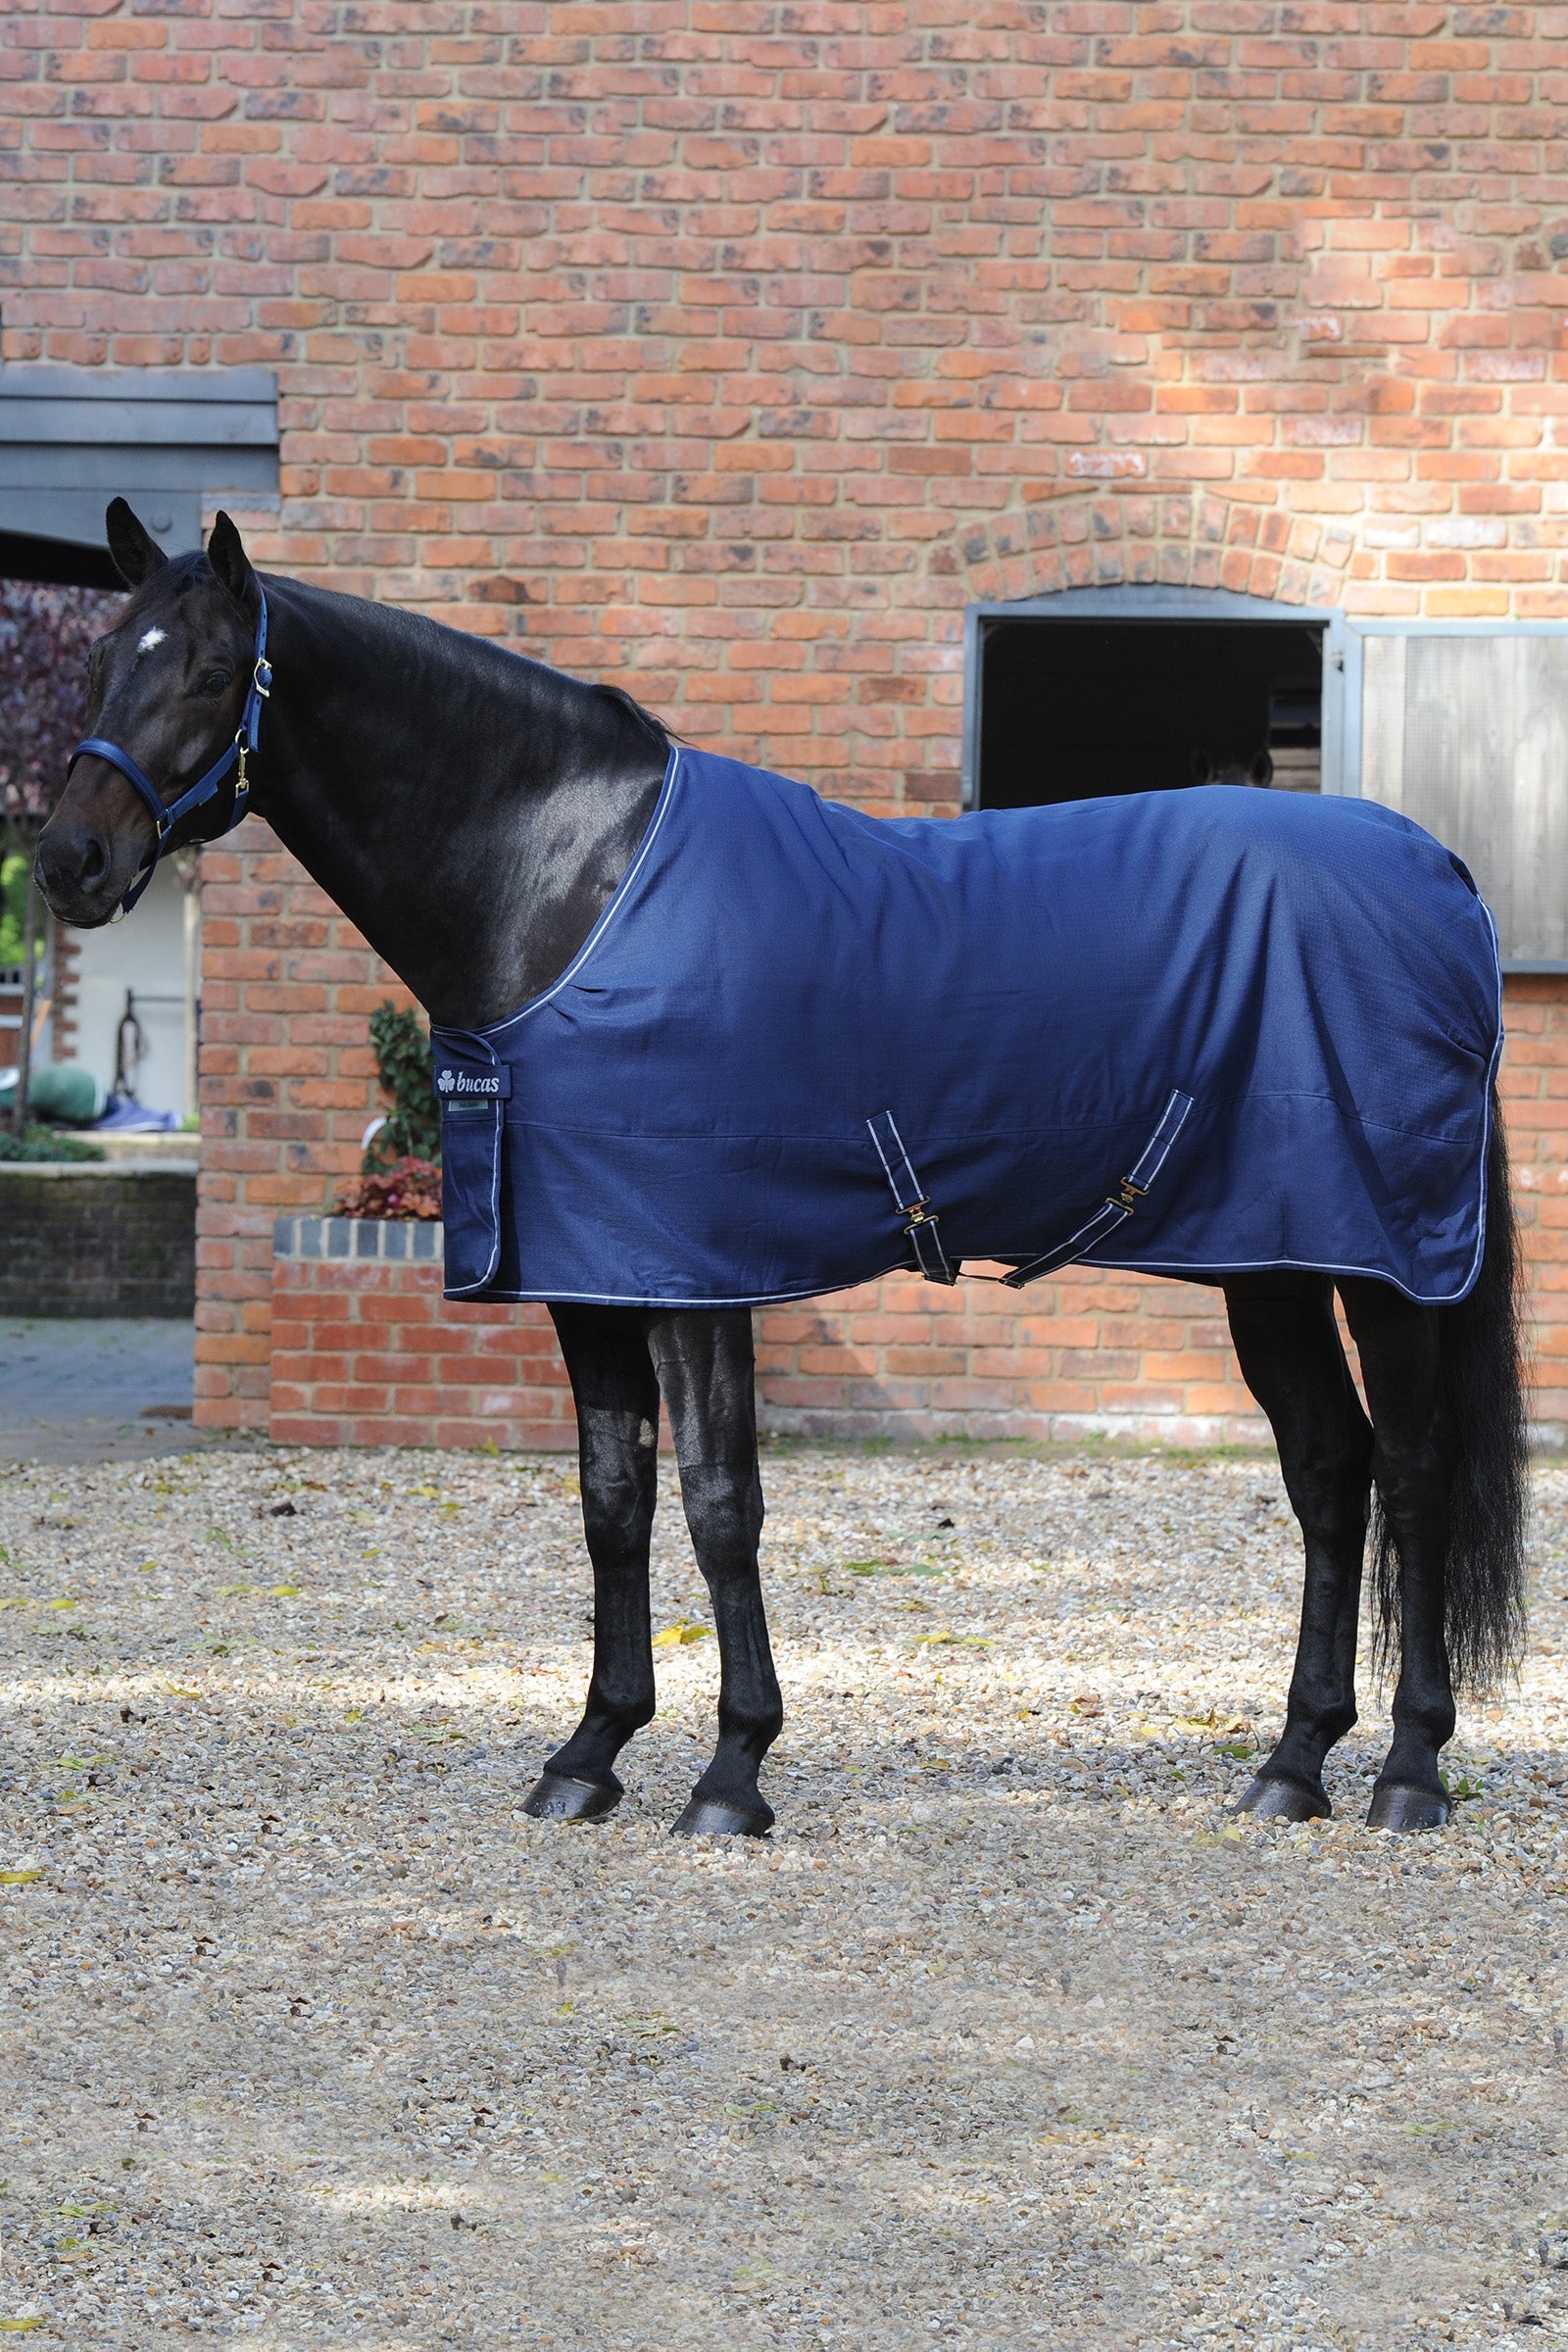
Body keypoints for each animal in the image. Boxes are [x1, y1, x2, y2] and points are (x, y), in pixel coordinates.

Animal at [35, 500, 1528, 1841]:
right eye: (105, 663)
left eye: (213, 670)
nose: (67, 861)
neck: (570, 890)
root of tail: (1443, 874)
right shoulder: (593, 1277)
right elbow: (615, 1501)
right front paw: (589, 1754)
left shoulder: (699, 1275)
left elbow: (719, 1502)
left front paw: (730, 1774)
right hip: (1271, 1260)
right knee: (1329, 1471)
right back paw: (1291, 1765)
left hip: (1387, 1268)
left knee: (1411, 1473)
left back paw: (1407, 1773)